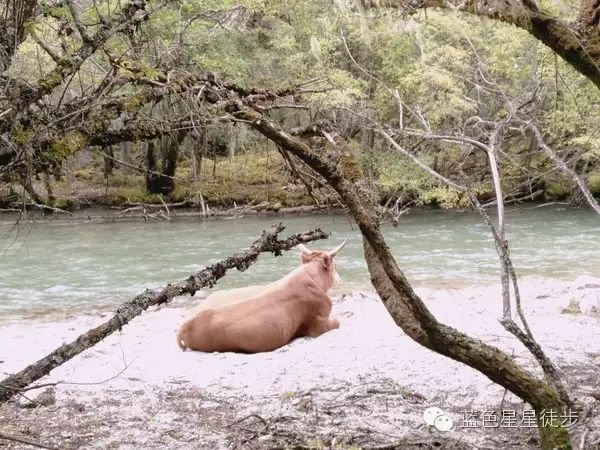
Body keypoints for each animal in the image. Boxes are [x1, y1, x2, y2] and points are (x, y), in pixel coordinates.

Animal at [176, 241, 344, 354]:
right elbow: (338, 322)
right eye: (335, 264)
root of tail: (185, 324)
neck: (311, 277)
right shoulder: (317, 323)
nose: (338, 278)